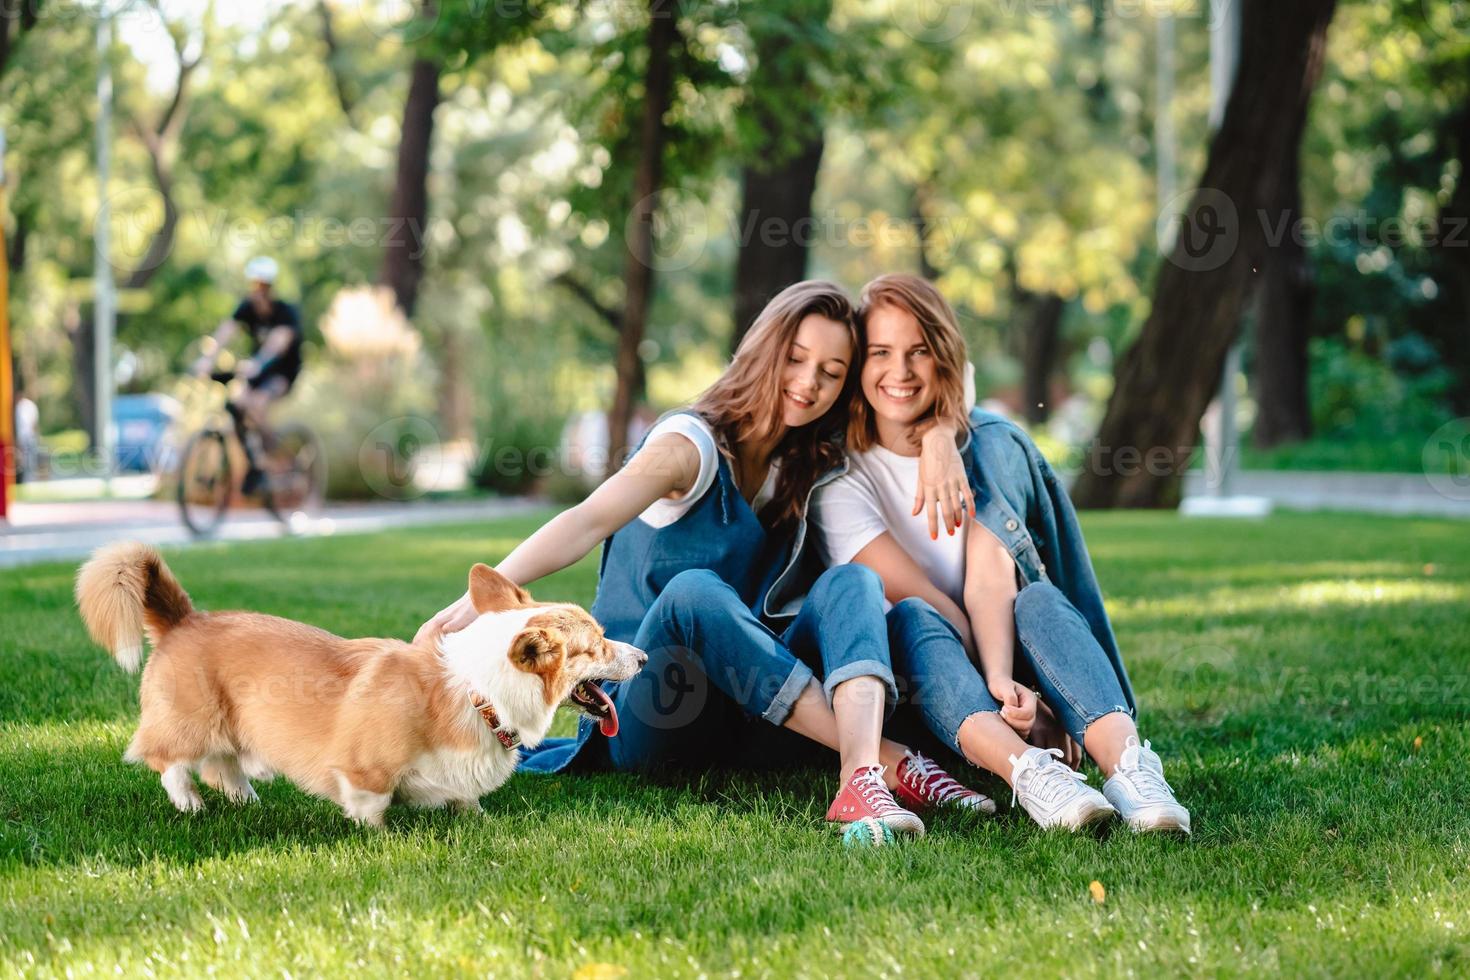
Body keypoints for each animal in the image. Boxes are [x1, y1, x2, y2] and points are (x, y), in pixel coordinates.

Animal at [74, 543, 646, 828]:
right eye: (597, 644)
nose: (643, 657)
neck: (476, 693)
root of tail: (184, 619)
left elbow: (464, 800)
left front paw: (476, 819)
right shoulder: (364, 772)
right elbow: (373, 807)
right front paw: (382, 836)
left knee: (223, 767)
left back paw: (247, 802)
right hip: (192, 721)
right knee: (167, 758)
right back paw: (190, 805)